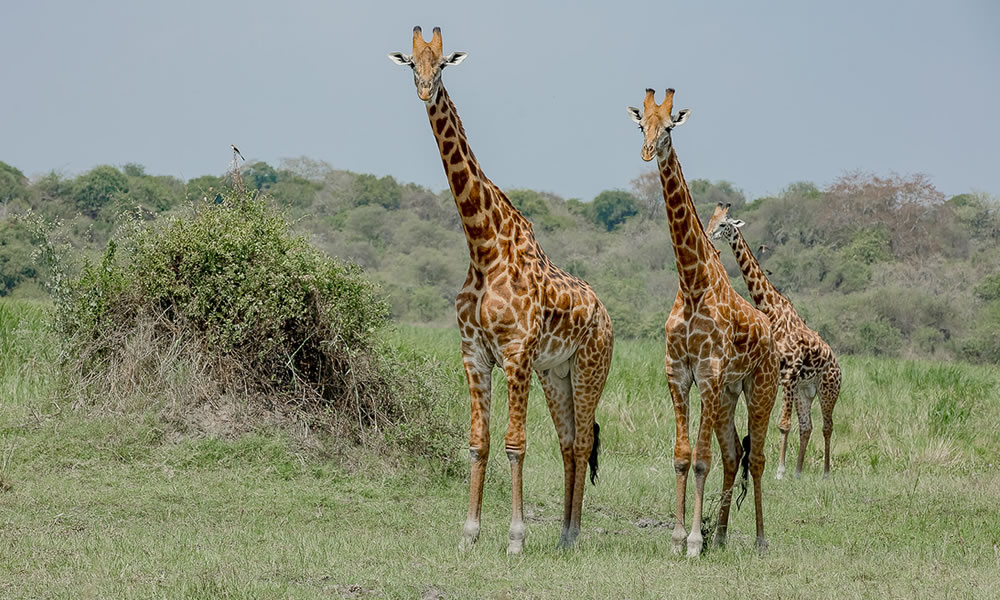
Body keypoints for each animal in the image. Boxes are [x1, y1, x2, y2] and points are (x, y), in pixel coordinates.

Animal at [386, 27, 612, 552]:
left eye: (442, 64)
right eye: (411, 63)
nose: (424, 90)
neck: (483, 246)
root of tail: (607, 315)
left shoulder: (515, 353)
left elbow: (515, 444)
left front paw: (515, 537)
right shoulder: (474, 353)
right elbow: (478, 443)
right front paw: (469, 533)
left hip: (590, 367)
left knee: (584, 441)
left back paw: (572, 534)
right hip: (556, 374)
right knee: (569, 442)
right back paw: (564, 534)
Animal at [624, 86, 780, 556]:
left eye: (670, 126)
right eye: (641, 124)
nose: (647, 151)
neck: (692, 283)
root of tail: (772, 333)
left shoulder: (708, 374)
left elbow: (700, 460)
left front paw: (694, 541)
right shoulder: (678, 374)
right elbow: (681, 456)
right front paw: (677, 538)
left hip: (760, 388)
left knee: (756, 457)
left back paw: (760, 540)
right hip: (728, 395)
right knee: (733, 455)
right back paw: (724, 535)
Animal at [704, 204, 844, 480]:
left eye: (724, 224)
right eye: (711, 219)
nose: (709, 234)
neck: (771, 309)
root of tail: (837, 365)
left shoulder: (789, 373)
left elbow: (782, 424)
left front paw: (779, 471)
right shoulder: (778, 376)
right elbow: (774, 423)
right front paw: (780, 469)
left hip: (828, 389)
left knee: (827, 426)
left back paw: (825, 473)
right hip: (805, 390)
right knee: (807, 425)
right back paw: (798, 471)